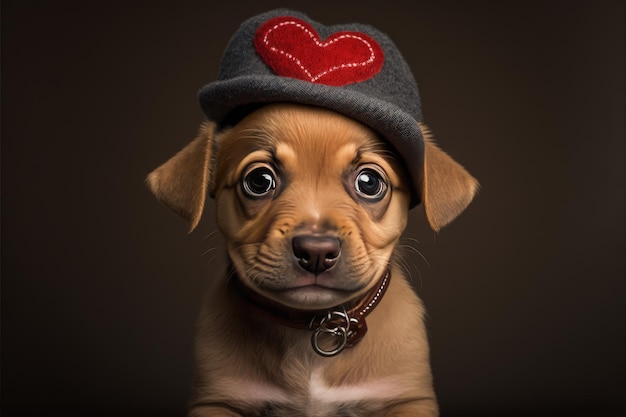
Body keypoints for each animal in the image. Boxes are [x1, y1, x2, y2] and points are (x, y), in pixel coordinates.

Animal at [147, 101, 478, 416]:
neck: (314, 327)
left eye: (369, 182)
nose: (316, 251)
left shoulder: (405, 399)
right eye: (259, 181)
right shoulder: (218, 400)